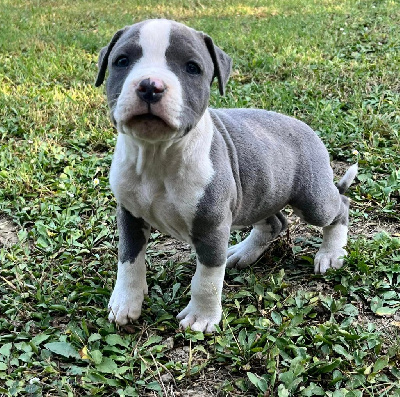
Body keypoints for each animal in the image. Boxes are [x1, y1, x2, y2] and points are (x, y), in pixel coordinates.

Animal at [95, 20, 358, 332]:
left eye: (192, 67)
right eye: (122, 61)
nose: (150, 85)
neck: (157, 154)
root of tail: (306, 127)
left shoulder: (212, 226)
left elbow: (207, 279)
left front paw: (202, 317)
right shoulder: (129, 215)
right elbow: (129, 261)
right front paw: (125, 302)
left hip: (312, 199)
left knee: (339, 208)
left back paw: (331, 254)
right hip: (259, 194)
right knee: (275, 222)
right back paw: (242, 252)